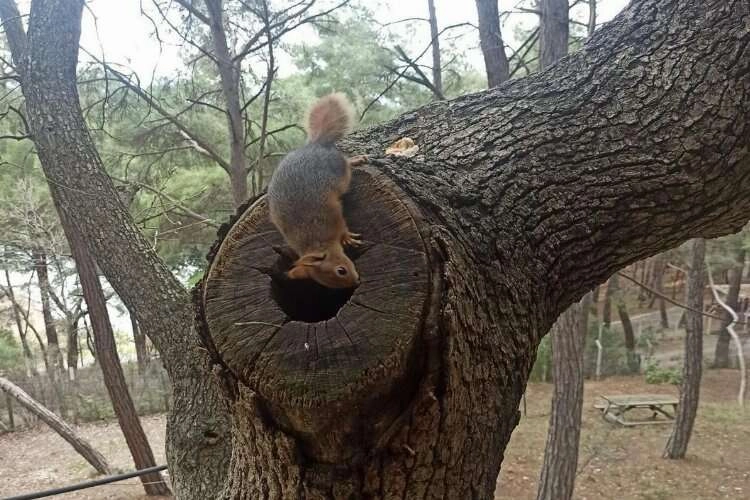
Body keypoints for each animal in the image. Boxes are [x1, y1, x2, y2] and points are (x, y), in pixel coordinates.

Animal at [268, 93, 368, 290]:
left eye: (341, 270)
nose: (356, 282)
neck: (318, 240)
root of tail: (315, 144)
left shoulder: (333, 216)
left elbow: (343, 226)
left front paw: (348, 238)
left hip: (340, 171)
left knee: (346, 163)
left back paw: (356, 160)